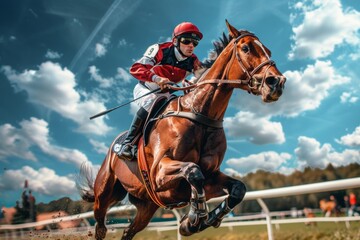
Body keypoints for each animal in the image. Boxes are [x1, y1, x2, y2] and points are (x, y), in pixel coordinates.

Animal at [77, 19, 286, 239]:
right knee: (100, 226)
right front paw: (193, 218)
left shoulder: (211, 176)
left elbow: (238, 188)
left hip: (146, 207)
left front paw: (202, 219)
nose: (277, 82)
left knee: (128, 232)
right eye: (246, 48)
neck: (200, 113)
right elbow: (193, 171)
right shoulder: (159, 172)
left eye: (268, 51)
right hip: (104, 194)